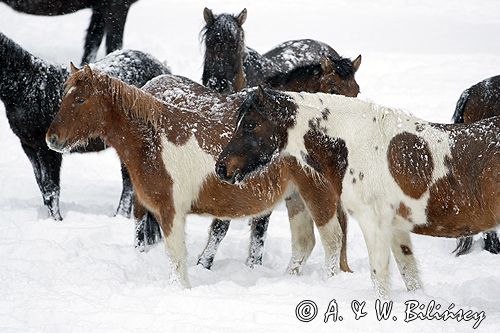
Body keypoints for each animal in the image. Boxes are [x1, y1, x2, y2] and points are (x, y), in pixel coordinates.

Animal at [0, 32, 170, 222]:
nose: (52, 137)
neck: (30, 88)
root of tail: (163, 68)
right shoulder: (30, 147)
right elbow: (43, 188)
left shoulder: (48, 151)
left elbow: (52, 190)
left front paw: (57, 220)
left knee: (129, 183)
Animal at [46, 67, 352, 286]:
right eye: (64, 97)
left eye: (80, 99)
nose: (52, 139)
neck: (154, 141)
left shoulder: (171, 211)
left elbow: (177, 257)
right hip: (296, 199)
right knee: (304, 244)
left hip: (317, 198)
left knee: (333, 241)